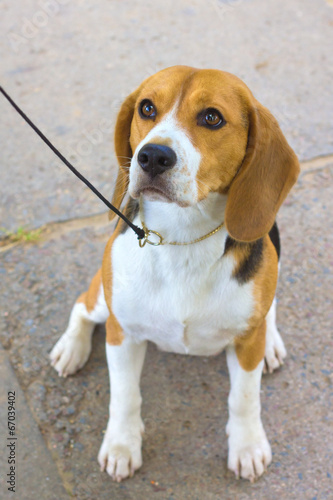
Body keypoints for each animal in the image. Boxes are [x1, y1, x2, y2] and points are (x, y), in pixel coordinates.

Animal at [50, 65, 300, 480]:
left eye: (212, 117)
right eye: (147, 108)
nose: (152, 155)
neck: (183, 237)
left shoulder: (246, 344)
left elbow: (244, 398)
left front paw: (247, 446)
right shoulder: (122, 332)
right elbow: (125, 395)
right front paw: (121, 445)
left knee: (270, 312)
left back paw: (271, 343)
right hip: (104, 302)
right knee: (82, 305)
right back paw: (71, 348)